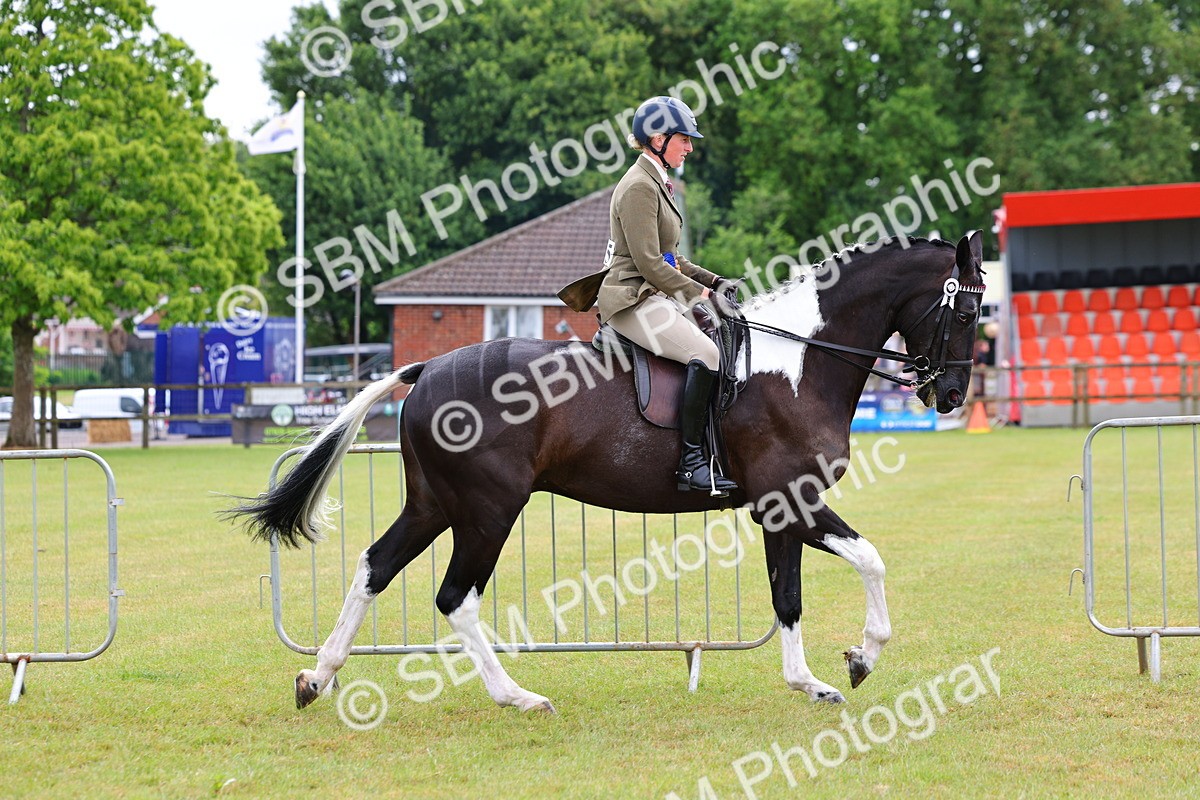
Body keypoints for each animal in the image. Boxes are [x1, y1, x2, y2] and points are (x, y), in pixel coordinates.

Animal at [227, 231, 984, 712]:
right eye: (970, 308)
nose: (951, 395)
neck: (797, 362)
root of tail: (428, 368)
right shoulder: (789, 501)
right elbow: (861, 564)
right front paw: (859, 660)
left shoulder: (780, 510)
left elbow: (793, 595)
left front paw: (818, 680)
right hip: (488, 510)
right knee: (455, 598)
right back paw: (517, 696)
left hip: (434, 504)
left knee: (375, 566)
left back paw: (318, 678)